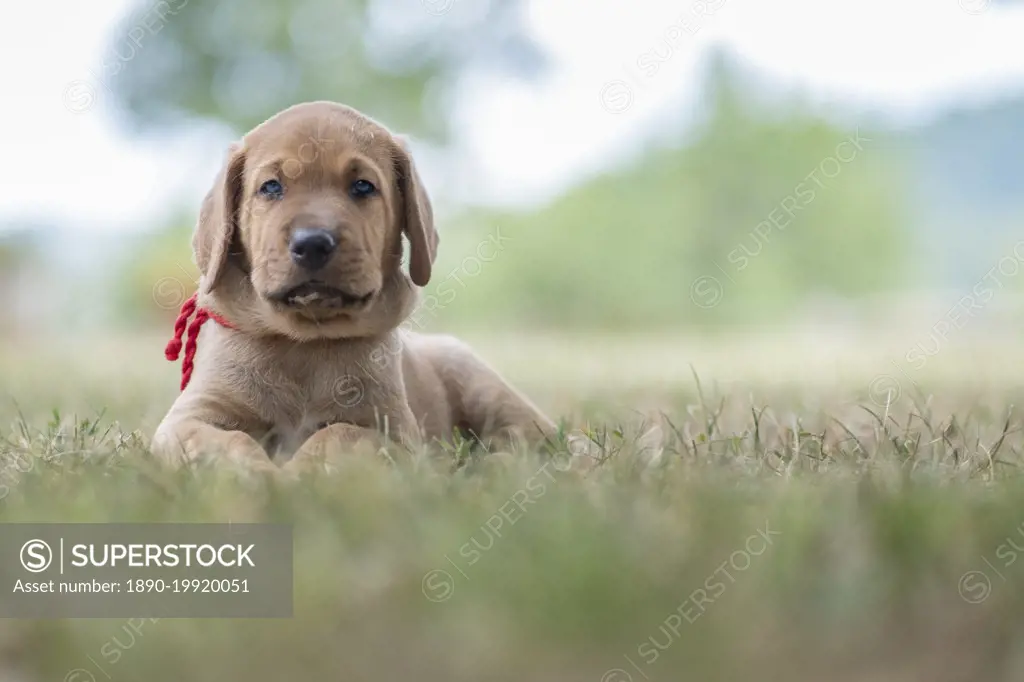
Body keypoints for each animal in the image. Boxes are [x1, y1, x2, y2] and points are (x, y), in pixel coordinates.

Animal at [149, 102, 561, 473]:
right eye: (270, 187)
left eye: (363, 186)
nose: (313, 243)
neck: (305, 343)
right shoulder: (188, 419)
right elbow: (228, 440)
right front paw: (257, 473)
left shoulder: (394, 433)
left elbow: (338, 435)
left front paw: (296, 474)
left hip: (484, 389)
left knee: (533, 439)